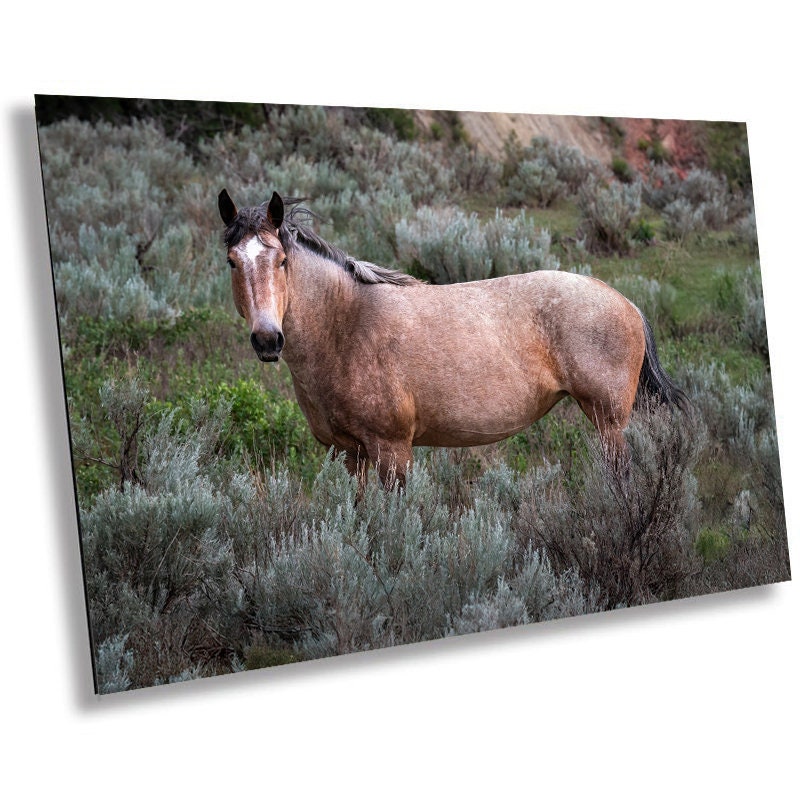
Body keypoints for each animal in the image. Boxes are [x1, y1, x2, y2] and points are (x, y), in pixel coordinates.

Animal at [219, 191, 688, 490]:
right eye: (232, 261)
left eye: (282, 260)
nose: (267, 339)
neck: (346, 326)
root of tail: (626, 303)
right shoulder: (349, 454)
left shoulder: (393, 451)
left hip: (608, 422)